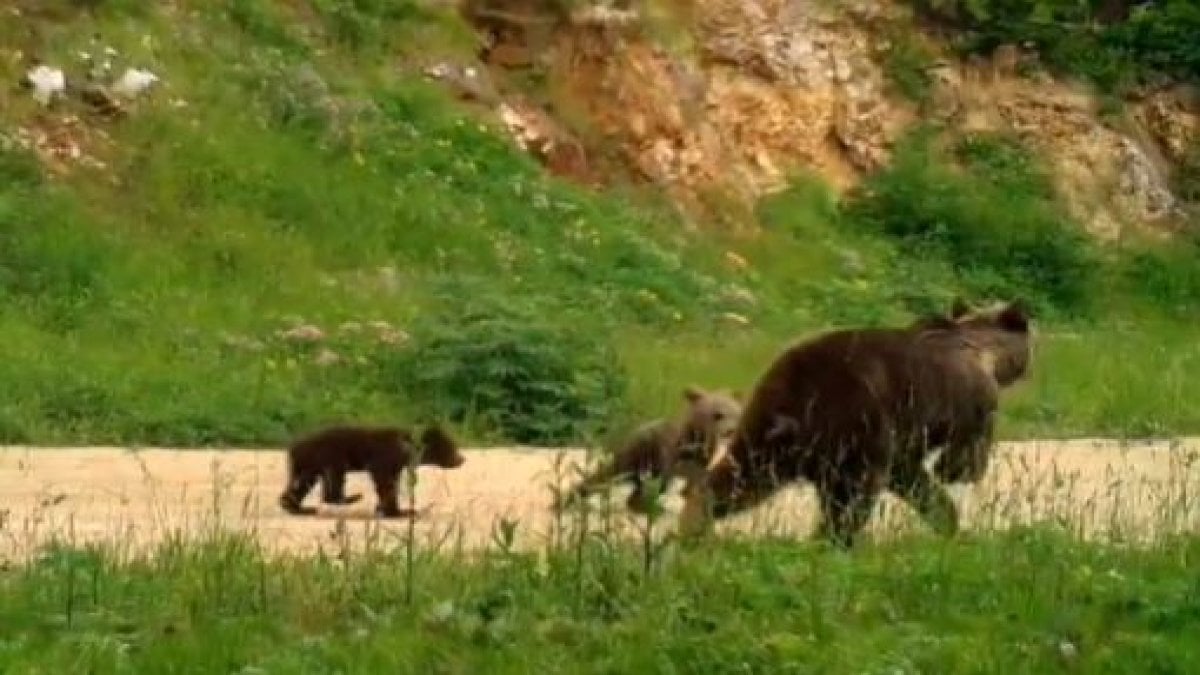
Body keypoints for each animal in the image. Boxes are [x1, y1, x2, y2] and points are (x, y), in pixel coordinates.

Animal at [681, 297, 1036, 547]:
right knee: (854, 497)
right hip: (856, 425)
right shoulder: (969, 401)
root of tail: (794, 401)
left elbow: (911, 476)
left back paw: (694, 524)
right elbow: (965, 451)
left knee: (741, 477)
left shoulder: (903, 440)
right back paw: (834, 540)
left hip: (768, 436)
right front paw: (955, 479)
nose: (1025, 370)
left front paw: (945, 518)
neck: (981, 348)